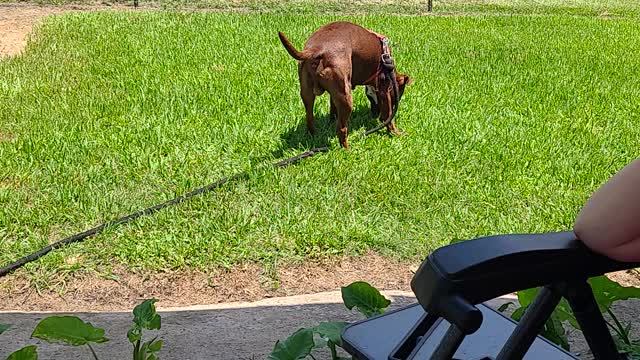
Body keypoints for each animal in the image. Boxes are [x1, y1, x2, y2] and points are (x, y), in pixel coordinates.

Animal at [278, 21, 412, 148]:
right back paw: (347, 149)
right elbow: (389, 116)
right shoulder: (384, 90)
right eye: (397, 97)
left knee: (310, 118)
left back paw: (313, 136)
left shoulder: (335, 93)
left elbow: (332, 107)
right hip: (346, 97)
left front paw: (332, 119)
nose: (374, 115)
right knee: (341, 129)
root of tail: (316, 49)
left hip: (308, 93)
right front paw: (395, 132)